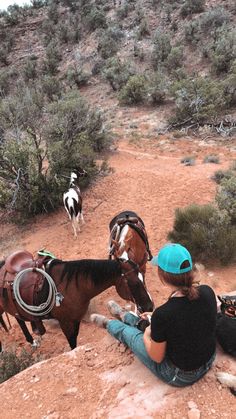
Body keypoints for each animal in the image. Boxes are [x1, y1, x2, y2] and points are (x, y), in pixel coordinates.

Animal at [0, 253, 153, 352]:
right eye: (134, 283)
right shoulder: (65, 322)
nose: (149, 306)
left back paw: (32, 340)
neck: (72, 286)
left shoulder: (75, 319)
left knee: (19, 318)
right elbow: (72, 343)